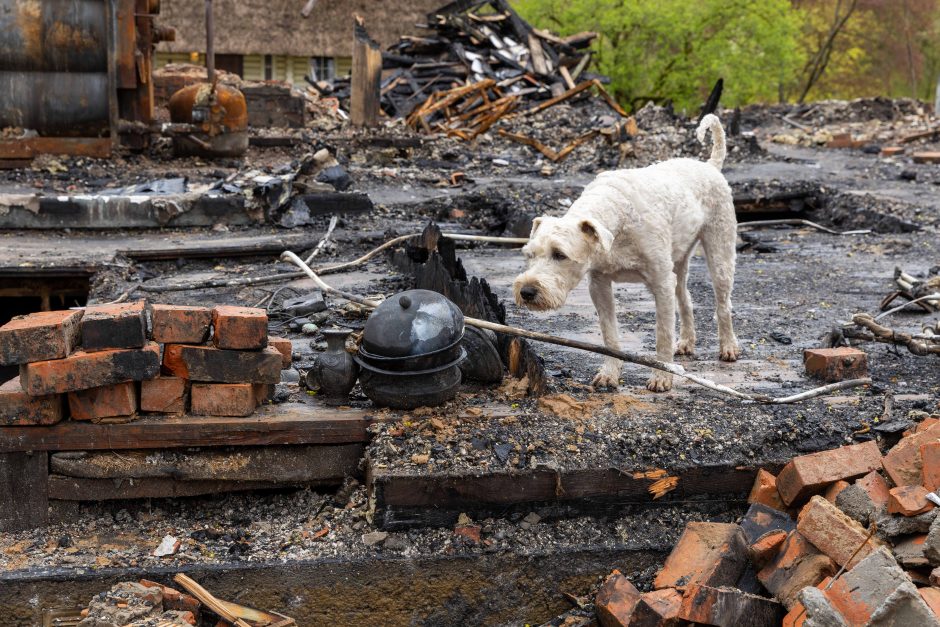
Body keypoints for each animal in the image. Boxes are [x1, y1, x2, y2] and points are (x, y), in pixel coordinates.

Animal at [516, 114, 740, 390]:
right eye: (530, 254)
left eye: (560, 254)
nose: (526, 292)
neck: (618, 216)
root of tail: (711, 166)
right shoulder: (599, 284)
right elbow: (609, 335)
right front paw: (609, 374)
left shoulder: (661, 282)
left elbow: (663, 334)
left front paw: (661, 377)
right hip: (679, 261)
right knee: (685, 298)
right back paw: (687, 343)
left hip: (720, 254)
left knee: (723, 305)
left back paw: (728, 347)